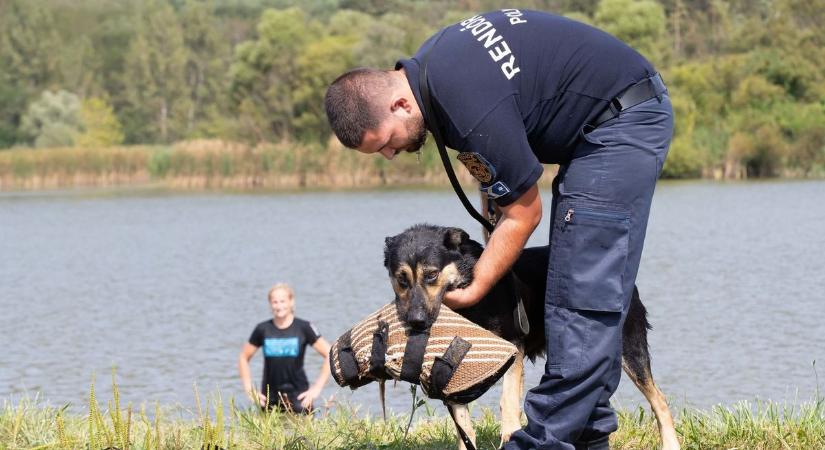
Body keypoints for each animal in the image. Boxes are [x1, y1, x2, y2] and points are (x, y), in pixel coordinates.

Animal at [384, 225, 680, 450]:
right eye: (401, 279)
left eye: (431, 275)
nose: (416, 321)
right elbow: (462, 422)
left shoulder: (513, 345)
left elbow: (508, 399)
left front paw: (510, 433)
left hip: (630, 348)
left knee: (660, 400)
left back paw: (670, 444)